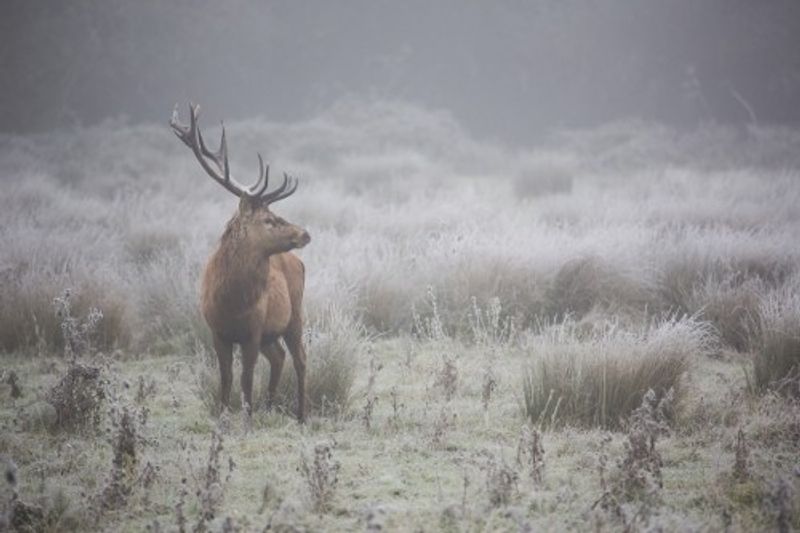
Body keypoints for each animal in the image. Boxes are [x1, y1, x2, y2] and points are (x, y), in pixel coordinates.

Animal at [170, 103, 311, 422]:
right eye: (268, 219)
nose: (305, 233)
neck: (231, 301)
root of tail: (299, 263)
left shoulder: (253, 330)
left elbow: (246, 378)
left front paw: (247, 418)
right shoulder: (217, 331)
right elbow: (226, 377)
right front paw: (225, 415)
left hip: (294, 314)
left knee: (300, 359)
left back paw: (300, 415)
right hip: (273, 333)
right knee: (279, 358)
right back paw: (270, 406)